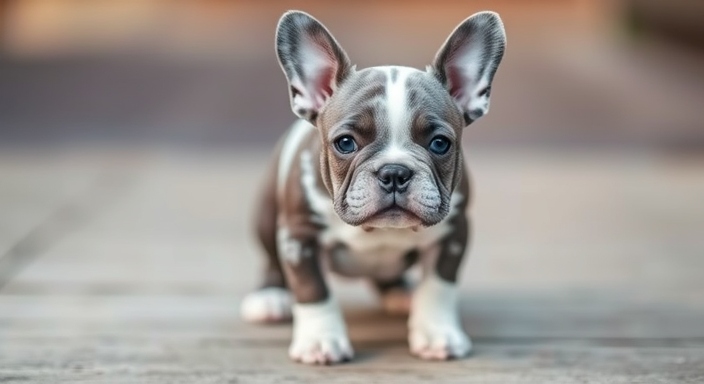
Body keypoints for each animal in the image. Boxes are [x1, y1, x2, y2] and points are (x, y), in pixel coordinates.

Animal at [242, 8, 506, 364]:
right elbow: (312, 289)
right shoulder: (298, 236)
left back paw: (400, 292)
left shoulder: (454, 232)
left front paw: (437, 334)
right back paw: (270, 297)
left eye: (440, 144)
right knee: (271, 261)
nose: (394, 172)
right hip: (268, 219)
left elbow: (439, 286)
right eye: (345, 143)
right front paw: (320, 340)